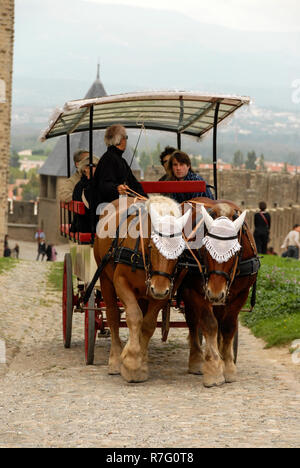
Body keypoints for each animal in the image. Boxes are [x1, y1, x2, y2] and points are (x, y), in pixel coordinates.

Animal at [94, 196, 190, 382]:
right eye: (152, 245)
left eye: (179, 250)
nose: (158, 288)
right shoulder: (121, 282)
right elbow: (133, 316)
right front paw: (130, 360)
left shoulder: (164, 293)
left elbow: (147, 324)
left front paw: (140, 363)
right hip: (105, 280)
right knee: (113, 315)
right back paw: (115, 359)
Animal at [182, 197, 258, 388]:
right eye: (205, 248)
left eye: (236, 250)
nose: (215, 293)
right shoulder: (197, 291)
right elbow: (209, 324)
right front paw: (214, 368)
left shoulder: (241, 294)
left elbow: (228, 326)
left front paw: (228, 365)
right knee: (193, 322)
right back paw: (196, 359)